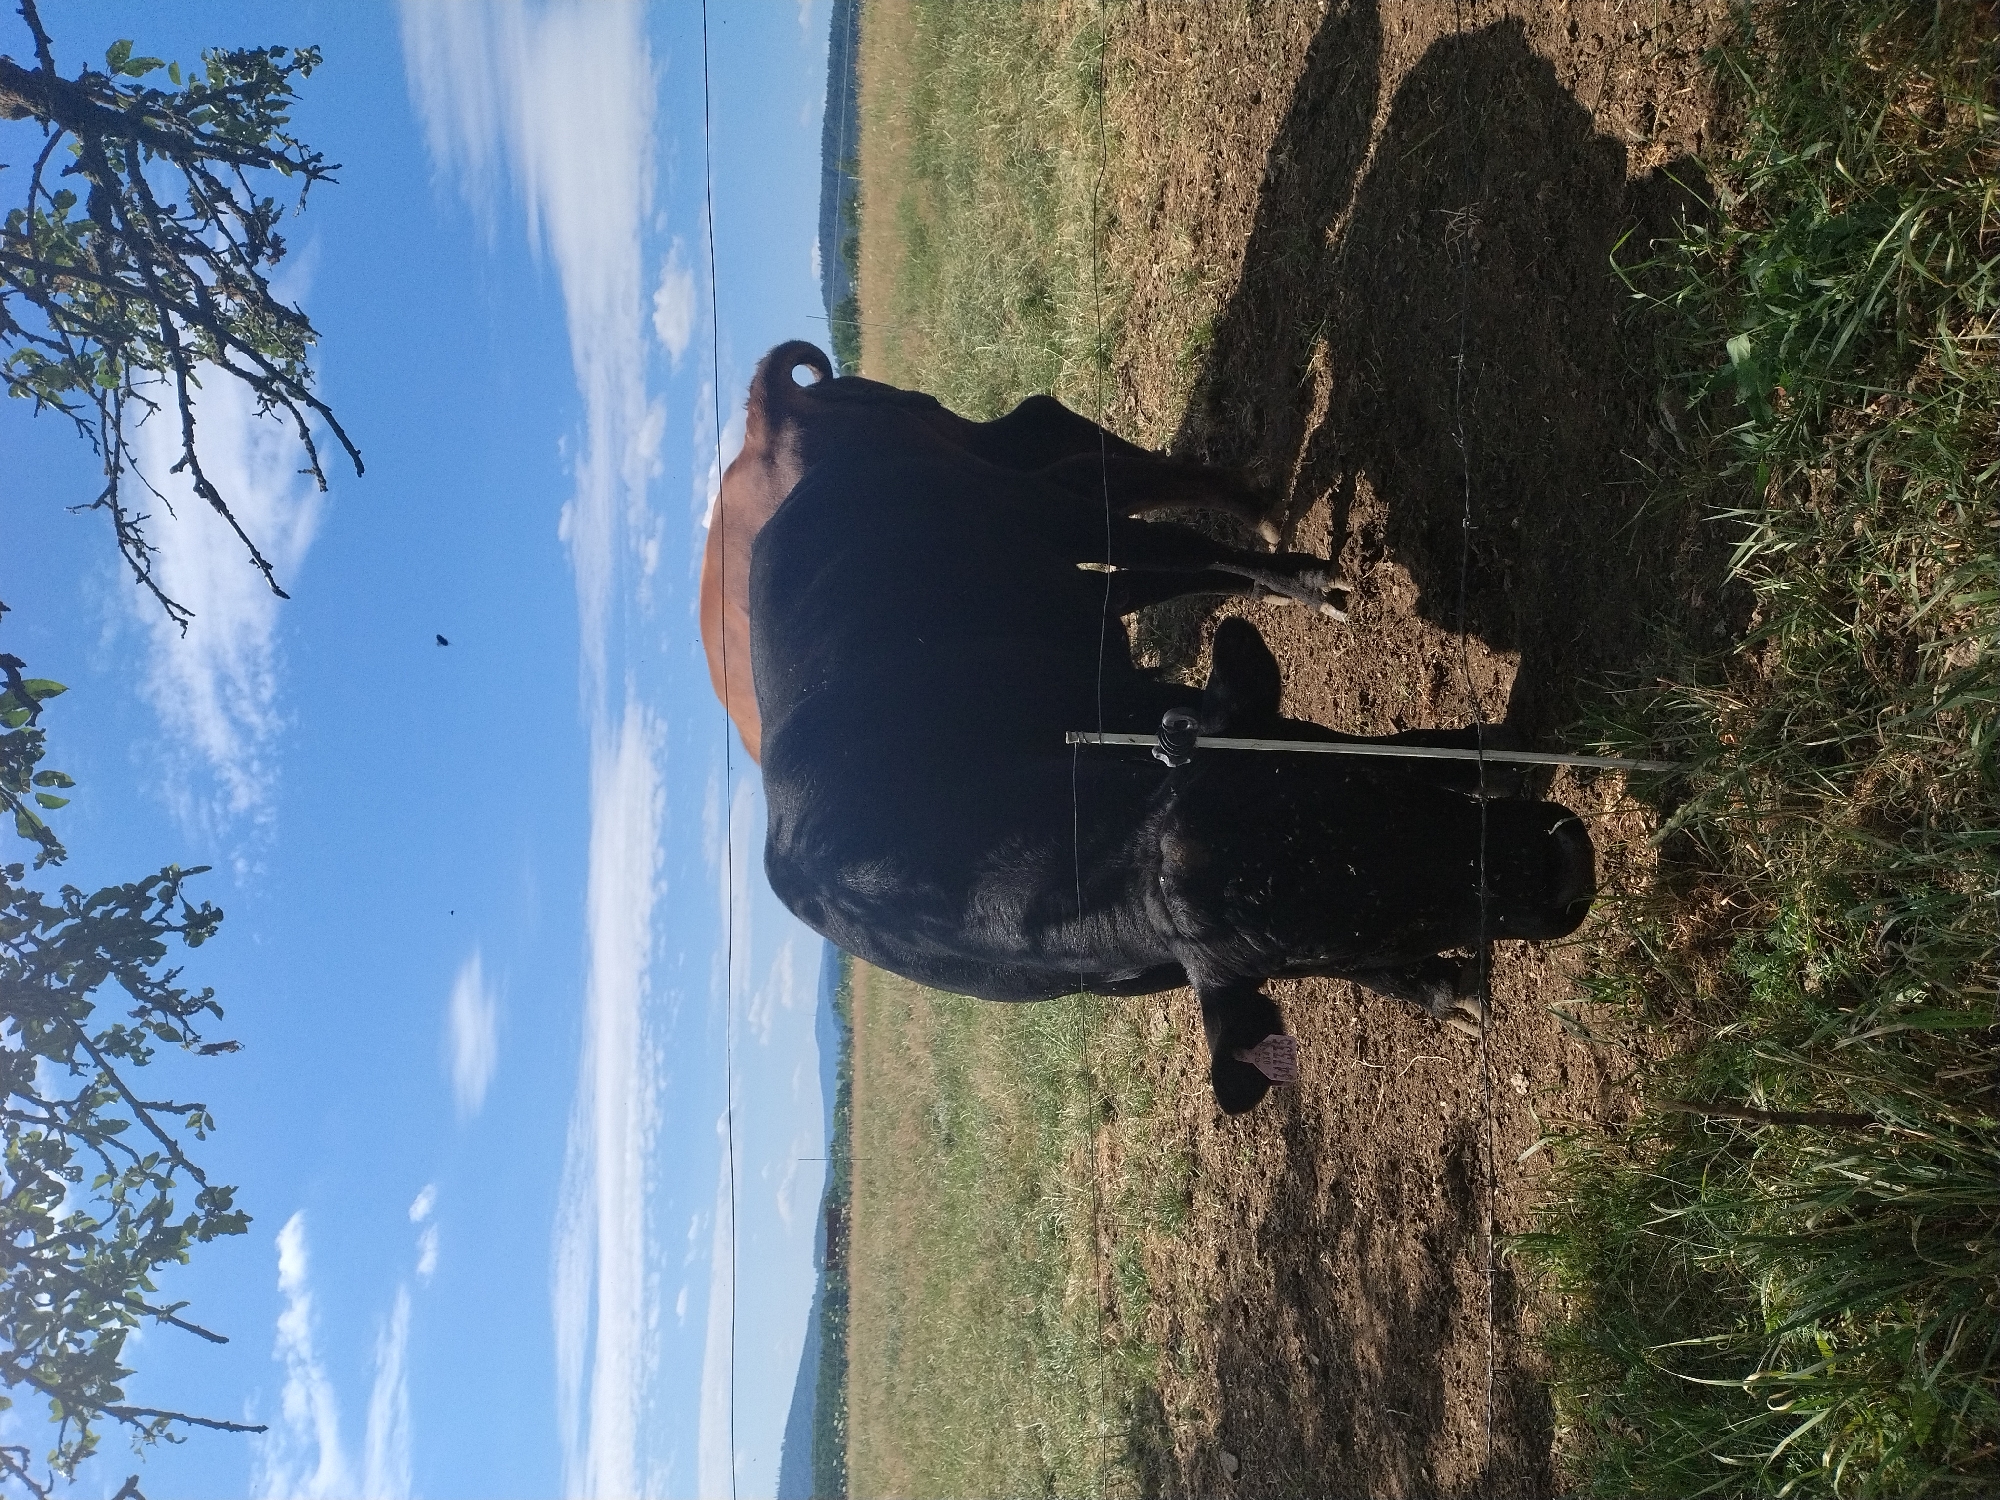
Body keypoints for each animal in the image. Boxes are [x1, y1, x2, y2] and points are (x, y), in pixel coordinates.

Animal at [714, 340, 1595, 1113]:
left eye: (1345, 790)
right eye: (1338, 947)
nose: (1561, 867)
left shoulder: (1183, 715)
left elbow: (1389, 747)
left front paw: (1494, 751)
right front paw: (1441, 989)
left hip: (1040, 510)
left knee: (1155, 527)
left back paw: (1297, 567)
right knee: (1155, 559)